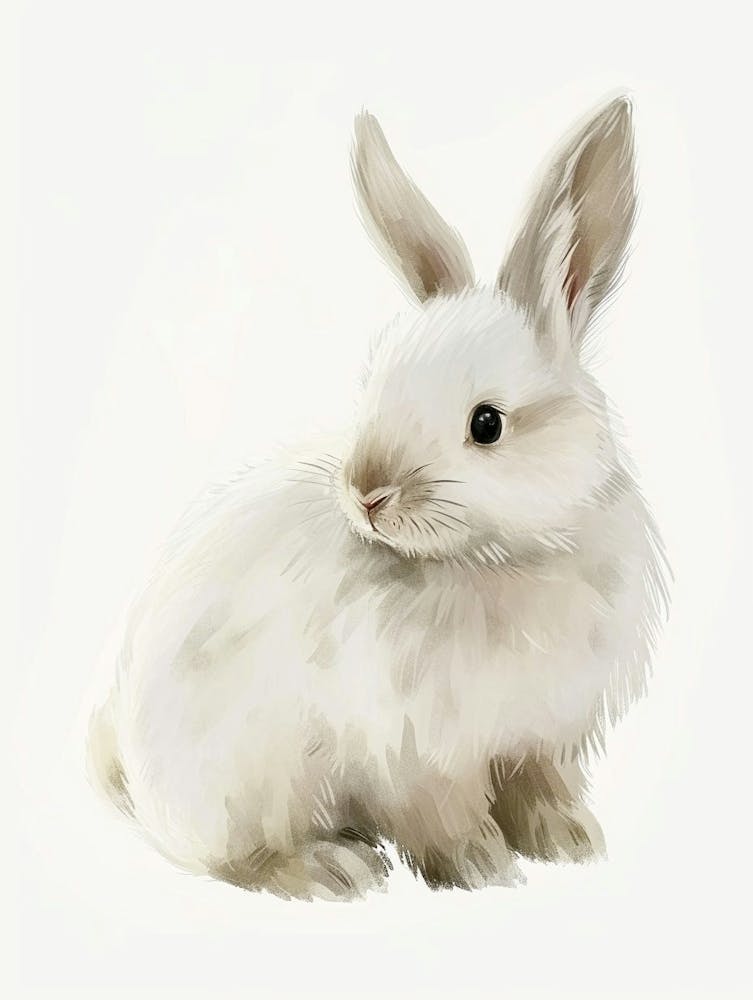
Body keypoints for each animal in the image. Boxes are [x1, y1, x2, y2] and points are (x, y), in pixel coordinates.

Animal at [88, 95, 669, 901]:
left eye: (486, 424)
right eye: (374, 389)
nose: (365, 493)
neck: (498, 559)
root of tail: (135, 781)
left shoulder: (540, 737)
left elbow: (540, 788)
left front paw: (569, 841)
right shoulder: (414, 752)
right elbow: (443, 814)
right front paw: (481, 867)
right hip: (245, 787)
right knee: (234, 859)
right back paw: (333, 868)